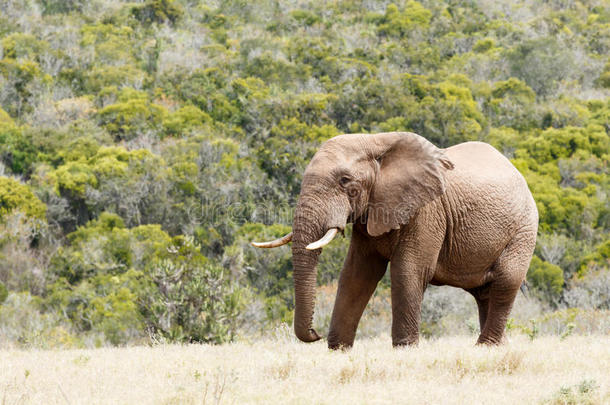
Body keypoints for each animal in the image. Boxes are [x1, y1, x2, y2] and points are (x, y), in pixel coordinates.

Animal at [249, 132, 536, 348]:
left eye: (345, 182)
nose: (314, 334)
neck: (374, 141)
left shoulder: (427, 211)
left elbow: (408, 271)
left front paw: (405, 349)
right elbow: (356, 274)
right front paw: (338, 349)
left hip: (524, 229)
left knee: (505, 281)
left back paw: (484, 347)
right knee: (485, 292)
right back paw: (496, 348)